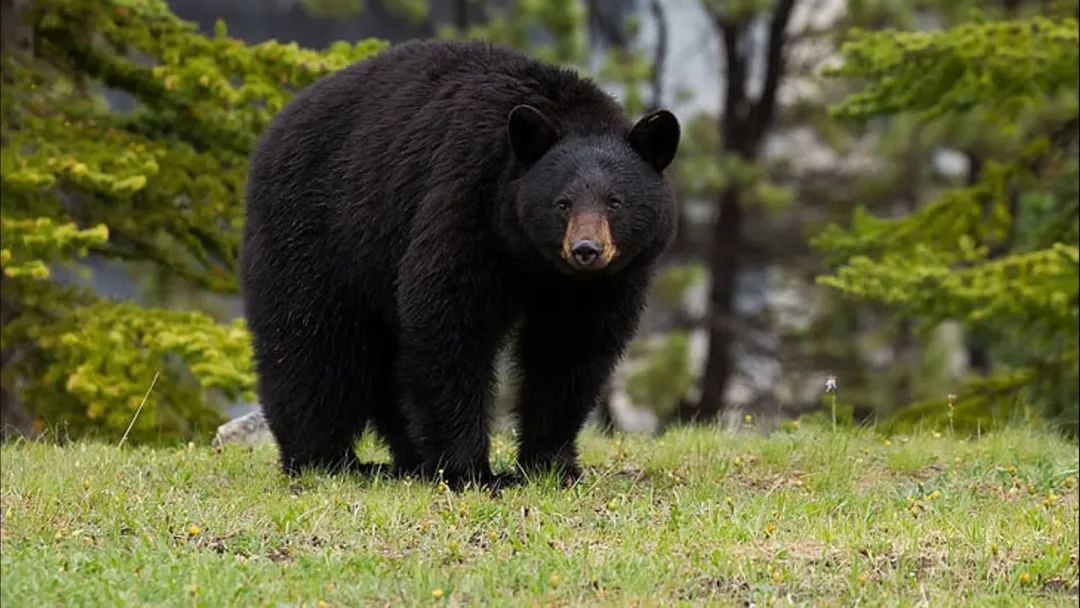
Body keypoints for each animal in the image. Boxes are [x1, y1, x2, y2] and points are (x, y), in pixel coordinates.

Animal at [240, 38, 678, 488]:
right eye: (563, 203)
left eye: (615, 202)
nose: (586, 249)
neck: (533, 258)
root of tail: (275, 126)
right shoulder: (467, 200)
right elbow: (449, 320)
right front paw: (472, 471)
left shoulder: (600, 284)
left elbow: (569, 348)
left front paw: (551, 464)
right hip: (314, 230)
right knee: (310, 345)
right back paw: (323, 460)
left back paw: (407, 458)